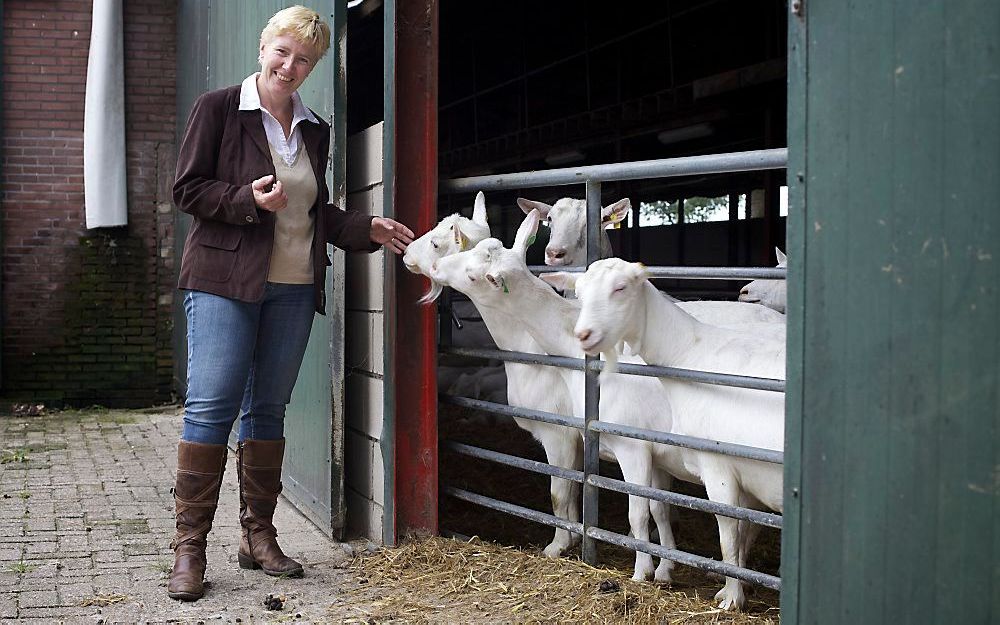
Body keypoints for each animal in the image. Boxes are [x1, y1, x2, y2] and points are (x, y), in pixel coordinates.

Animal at [430, 212, 680, 584]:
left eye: (473, 275)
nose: (436, 267)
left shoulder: (565, 434)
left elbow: (560, 492)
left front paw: (559, 546)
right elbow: (588, 492)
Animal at [552, 258, 784, 608]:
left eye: (621, 288)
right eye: (579, 293)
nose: (584, 334)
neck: (690, 354)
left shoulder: (718, 466)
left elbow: (728, 529)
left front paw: (731, 598)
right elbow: (739, 527)